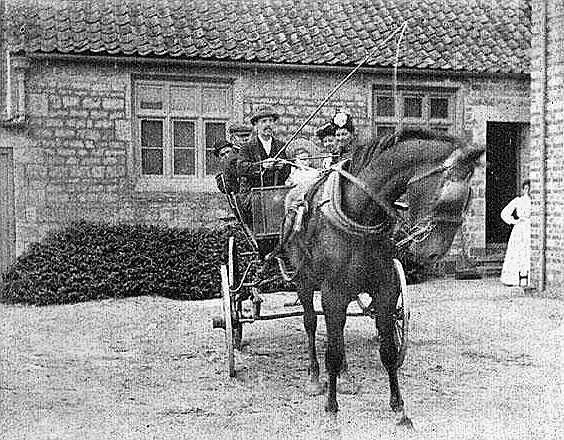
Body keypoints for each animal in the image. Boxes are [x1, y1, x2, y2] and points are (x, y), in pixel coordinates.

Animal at [282, 128, 484, 420]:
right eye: (445, 196)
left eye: (468, 199)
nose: (432, 254)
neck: (359, 213)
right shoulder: (332, 293)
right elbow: (331, 351)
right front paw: (331, 406)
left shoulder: (386, 290)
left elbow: (387, 351)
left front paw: (399, 407)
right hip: (304, 281)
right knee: (310, 323)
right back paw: (314, 378)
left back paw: (345, 376)